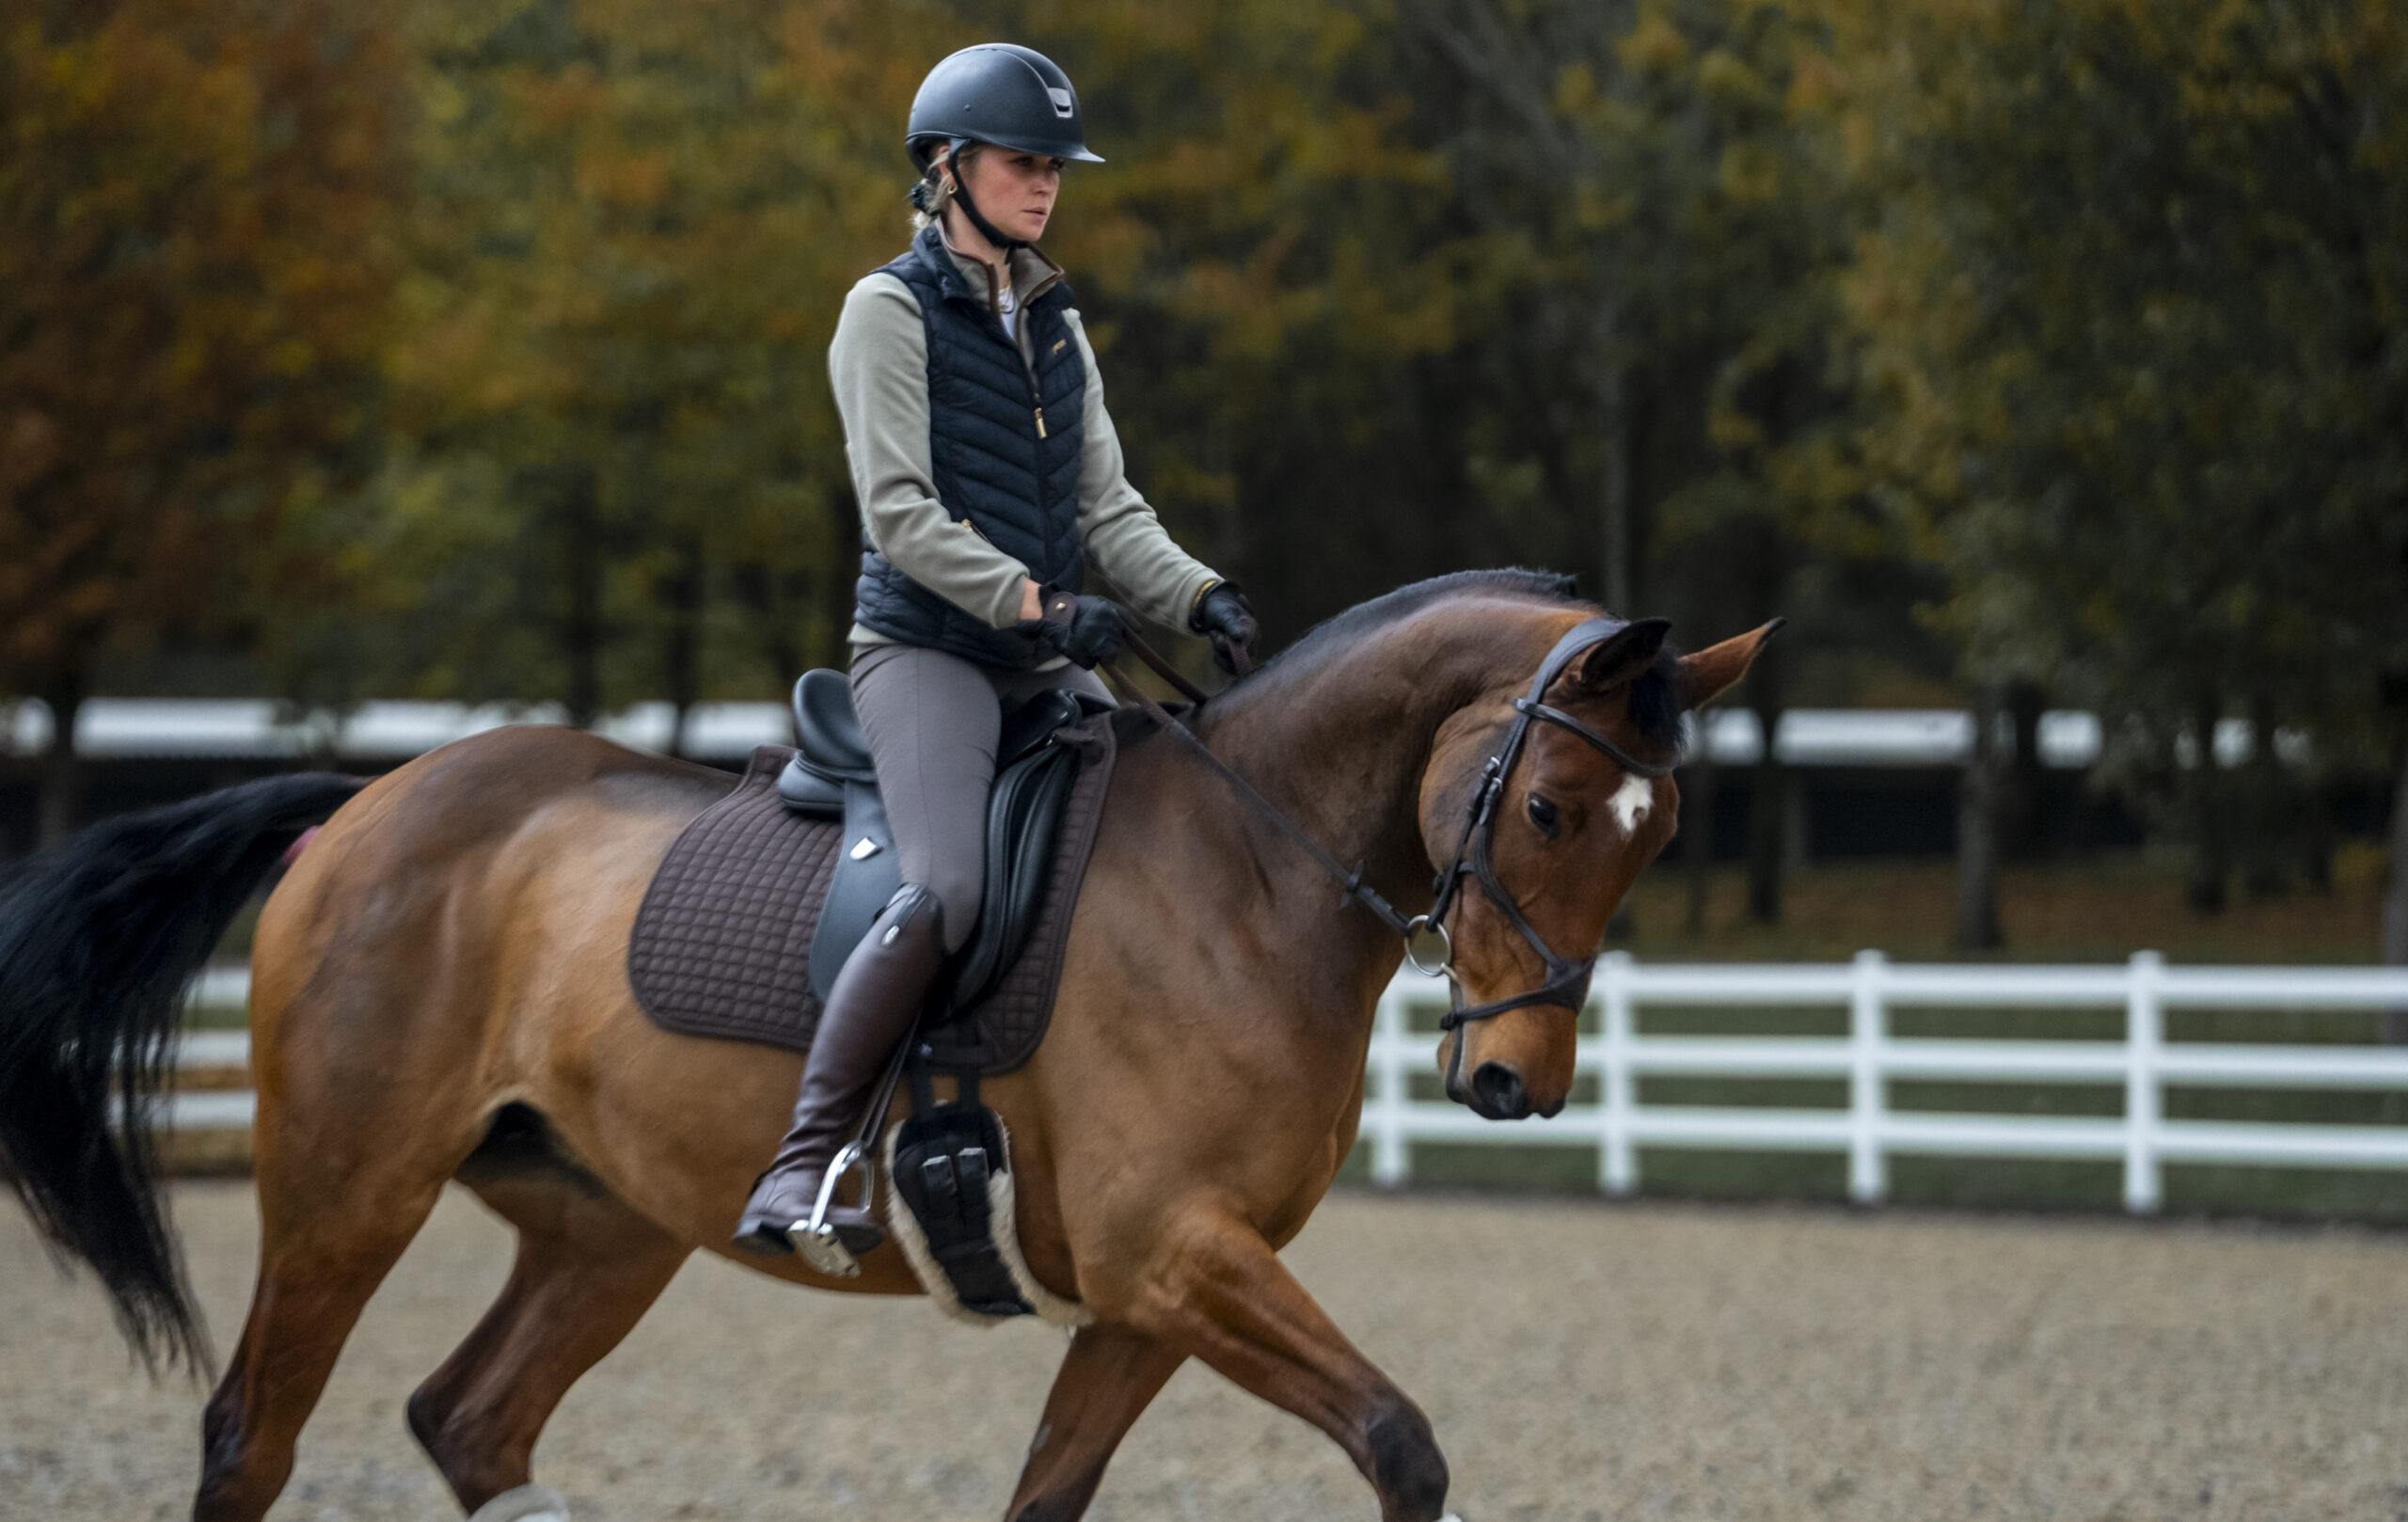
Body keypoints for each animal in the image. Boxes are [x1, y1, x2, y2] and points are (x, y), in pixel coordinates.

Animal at [0, 569, 1773, 1522]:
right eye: (1550, 809)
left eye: (1660, 831)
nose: (1514, 1083)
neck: (1253, 876)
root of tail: (365, 803)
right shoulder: (1172, 1251)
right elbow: (1403, 1443)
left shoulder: (1152, 1292)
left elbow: (1050, 1490)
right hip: (349, 1192)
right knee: (254, 1434)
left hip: (604, 1222)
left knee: (470, 1416)